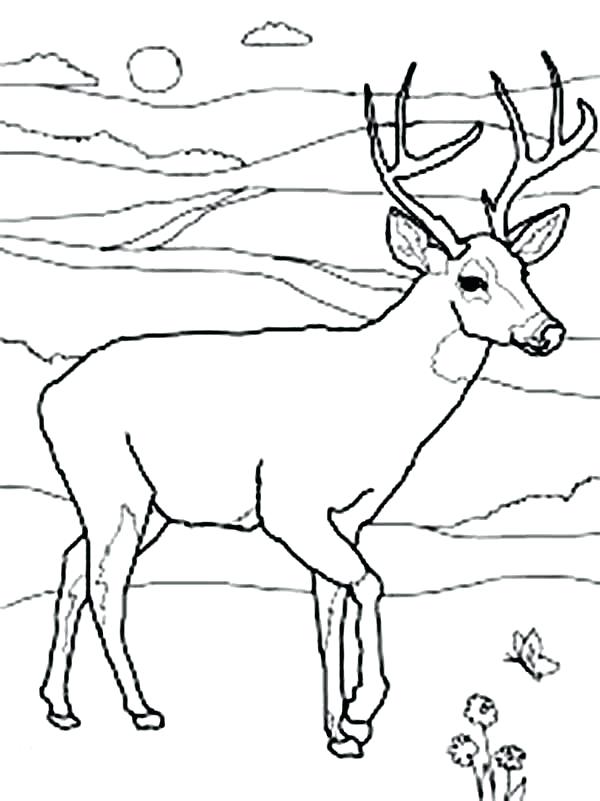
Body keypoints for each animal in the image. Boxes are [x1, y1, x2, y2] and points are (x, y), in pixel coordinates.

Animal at [37, 52, 596, 758]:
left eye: (525, 270)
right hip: (115, 487)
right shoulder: (288, 503)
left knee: (70, 567)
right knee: (106, 584)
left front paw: (340, 731)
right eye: (472, 280)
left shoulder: (347, 515)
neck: (376, 397)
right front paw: (365, 706)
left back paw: (60, 707)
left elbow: (330, 609)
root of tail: (50, 396)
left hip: (141, 501)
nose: (548, 331)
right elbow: (370, 583)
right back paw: (142, 709)